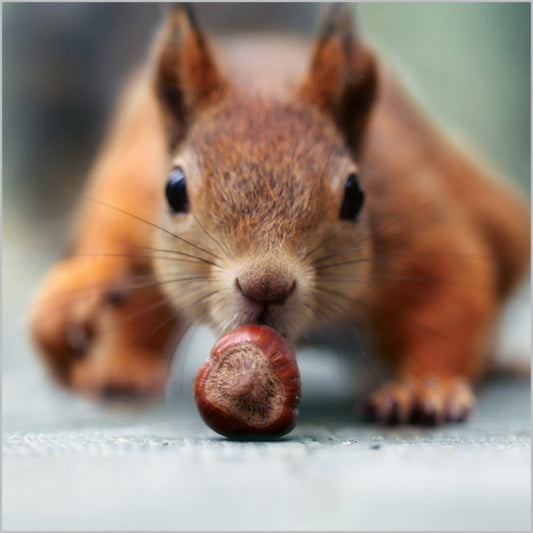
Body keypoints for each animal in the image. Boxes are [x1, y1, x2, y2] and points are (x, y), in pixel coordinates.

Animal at [29, 4, 528, 424]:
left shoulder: (414, 225)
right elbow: (108, 244)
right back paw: (123, 368)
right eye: (173, 190)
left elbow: (450, 297)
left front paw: (423, 390)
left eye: (355, 194)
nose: (265, 285)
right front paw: (71, 300)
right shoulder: (131, 186)